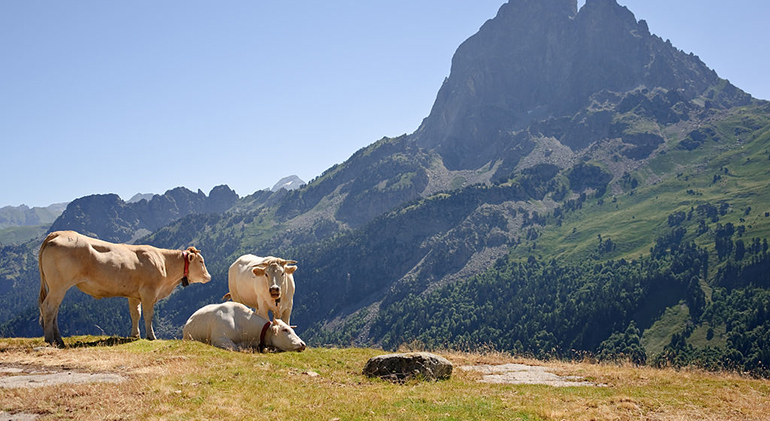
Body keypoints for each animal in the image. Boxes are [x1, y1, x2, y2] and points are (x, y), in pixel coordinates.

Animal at [38, 231, 212, 346]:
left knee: (54, 310)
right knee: (48, 308)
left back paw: (58, 339)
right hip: (59, 285)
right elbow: (148, 315)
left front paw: (135, 335)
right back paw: (50, 339)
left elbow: (135, 314)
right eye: (201, 261)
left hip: (57, 287)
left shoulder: (134, 295)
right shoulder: (149, 292)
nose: (209, 276)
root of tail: (58, 233)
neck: (163, 262)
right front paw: (151, 336)